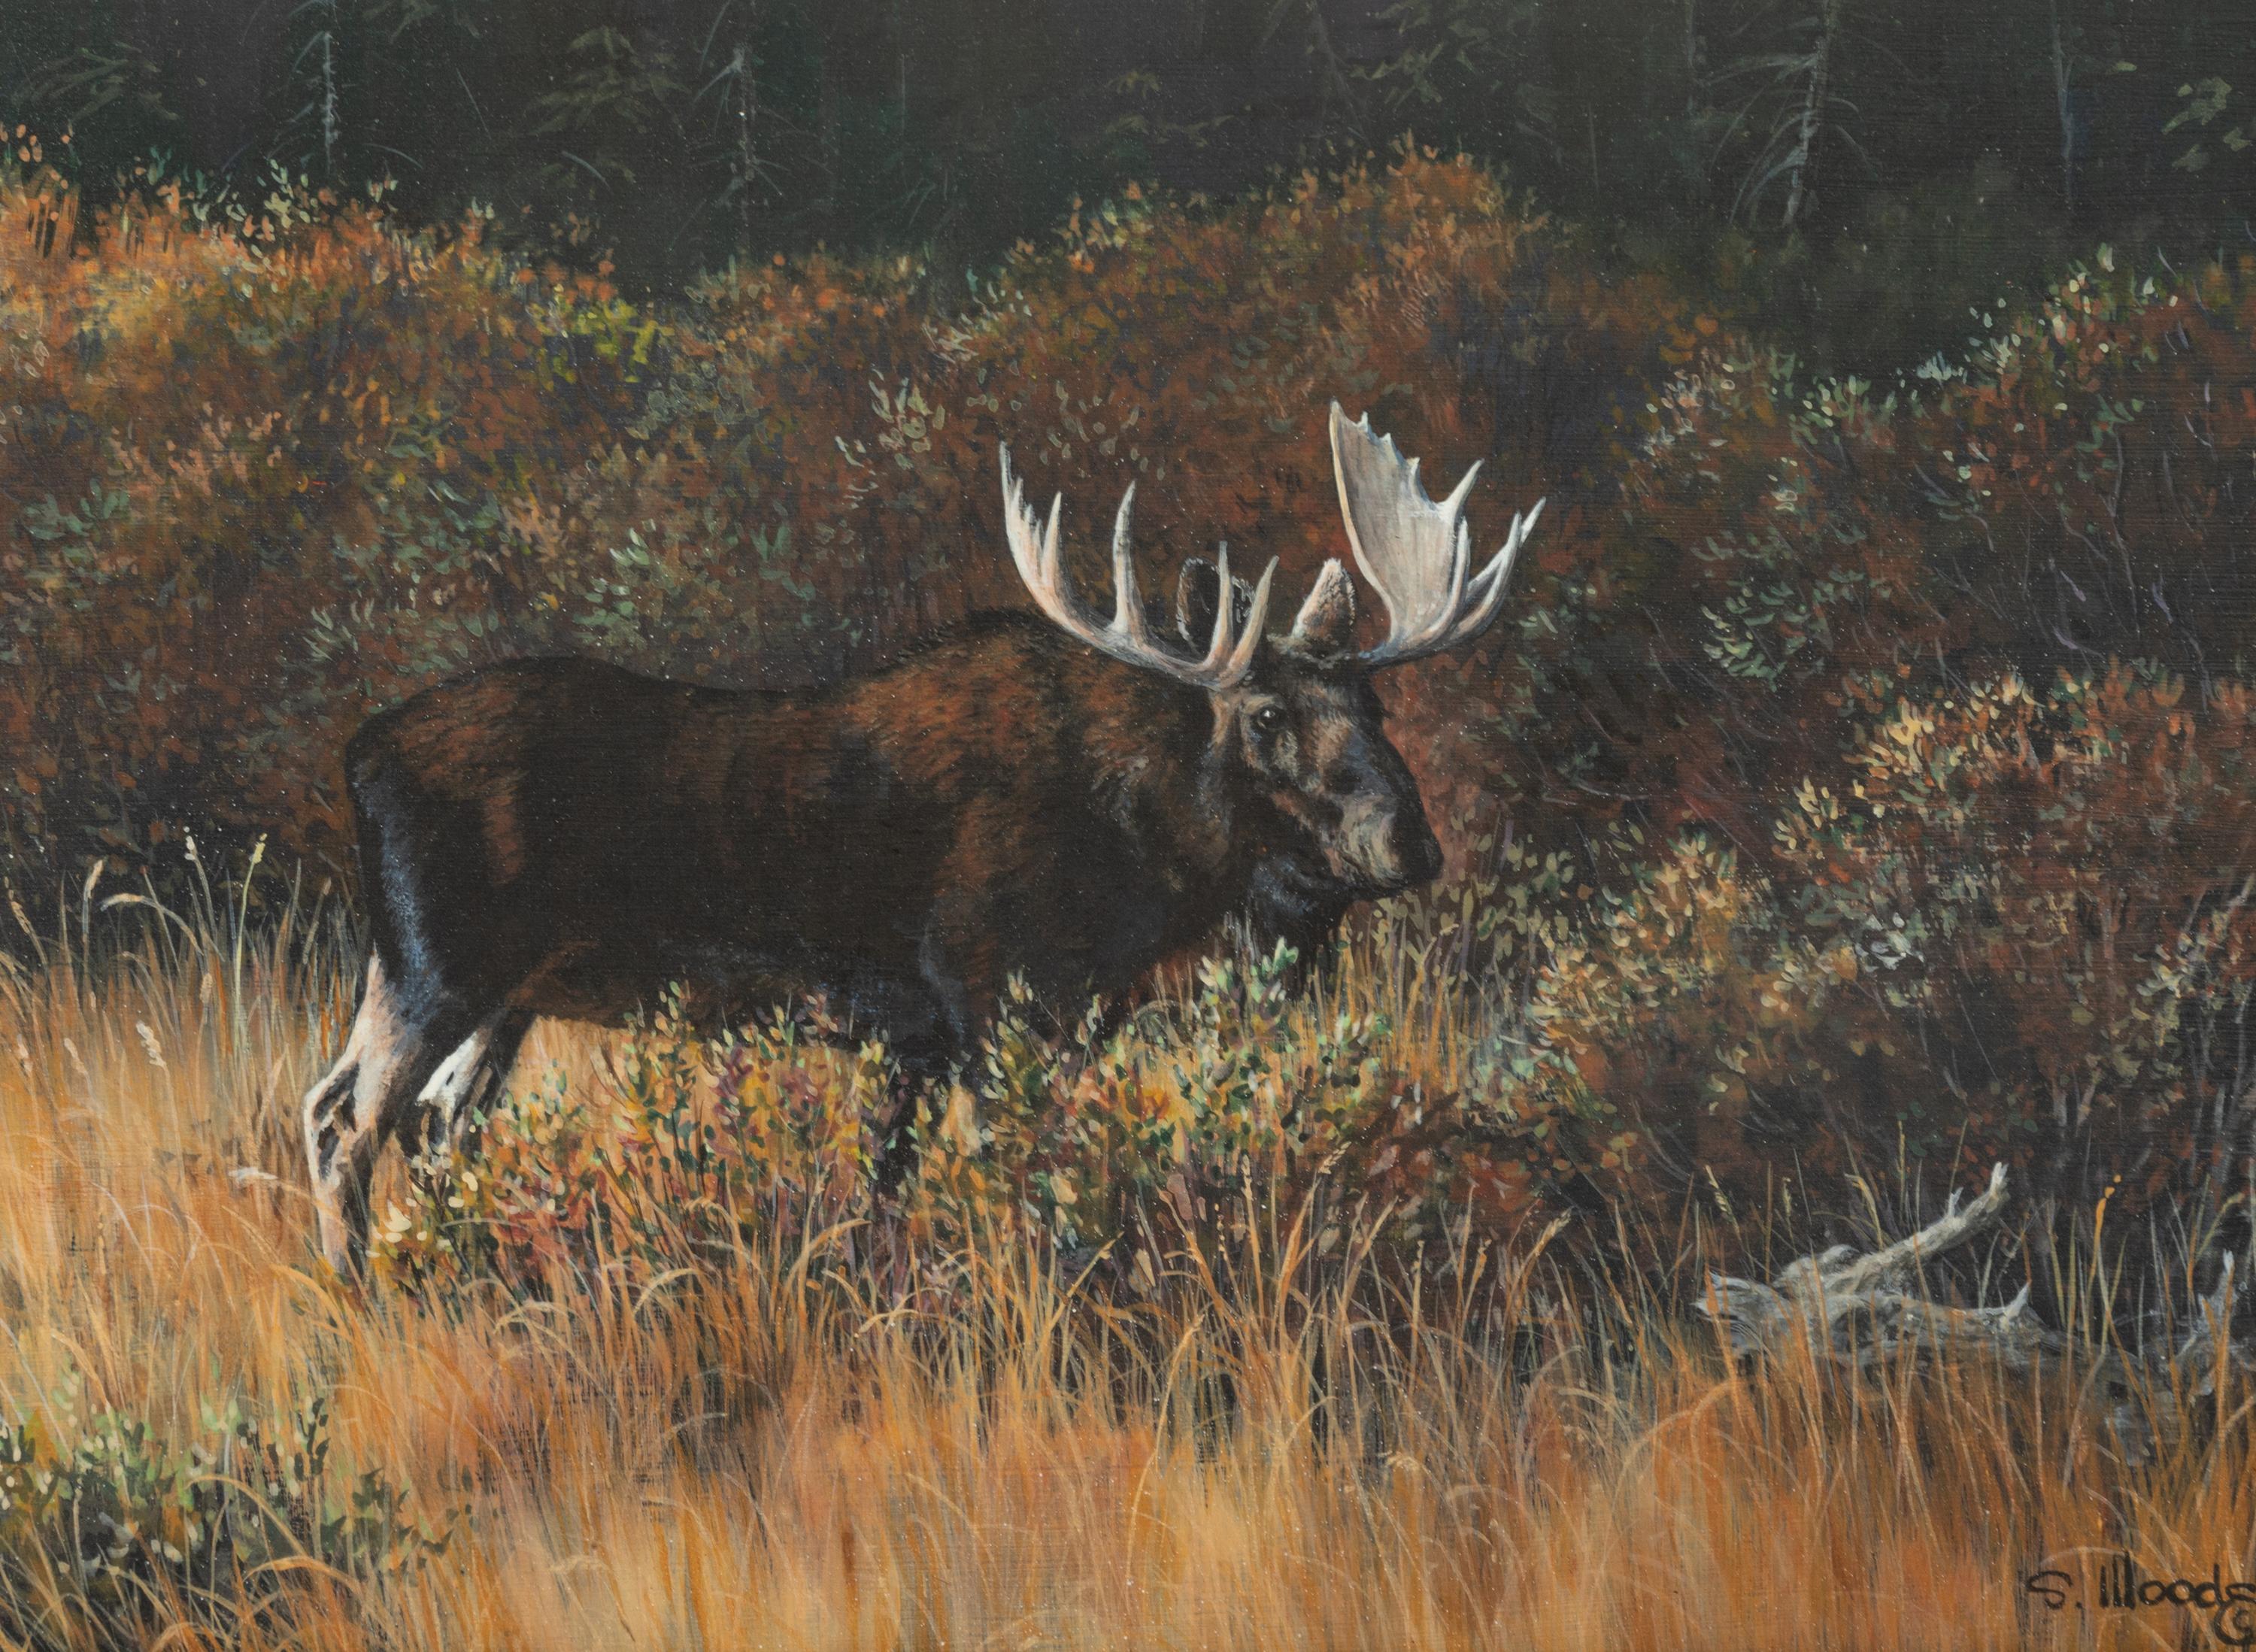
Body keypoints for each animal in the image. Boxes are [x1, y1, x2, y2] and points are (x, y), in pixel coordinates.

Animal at [301, 403, 1543, 1270]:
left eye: (1377, 707)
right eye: (1269, 717)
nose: (1410, 843)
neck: (1148, 863)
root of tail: (357, 753)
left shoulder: (928, 1034)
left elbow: (888, 1186)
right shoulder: (996, 999)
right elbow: (1015, 1182)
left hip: (503, 994)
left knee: (435, 1124)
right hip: (433, 963)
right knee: (342, 1117)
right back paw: (359, 1293)